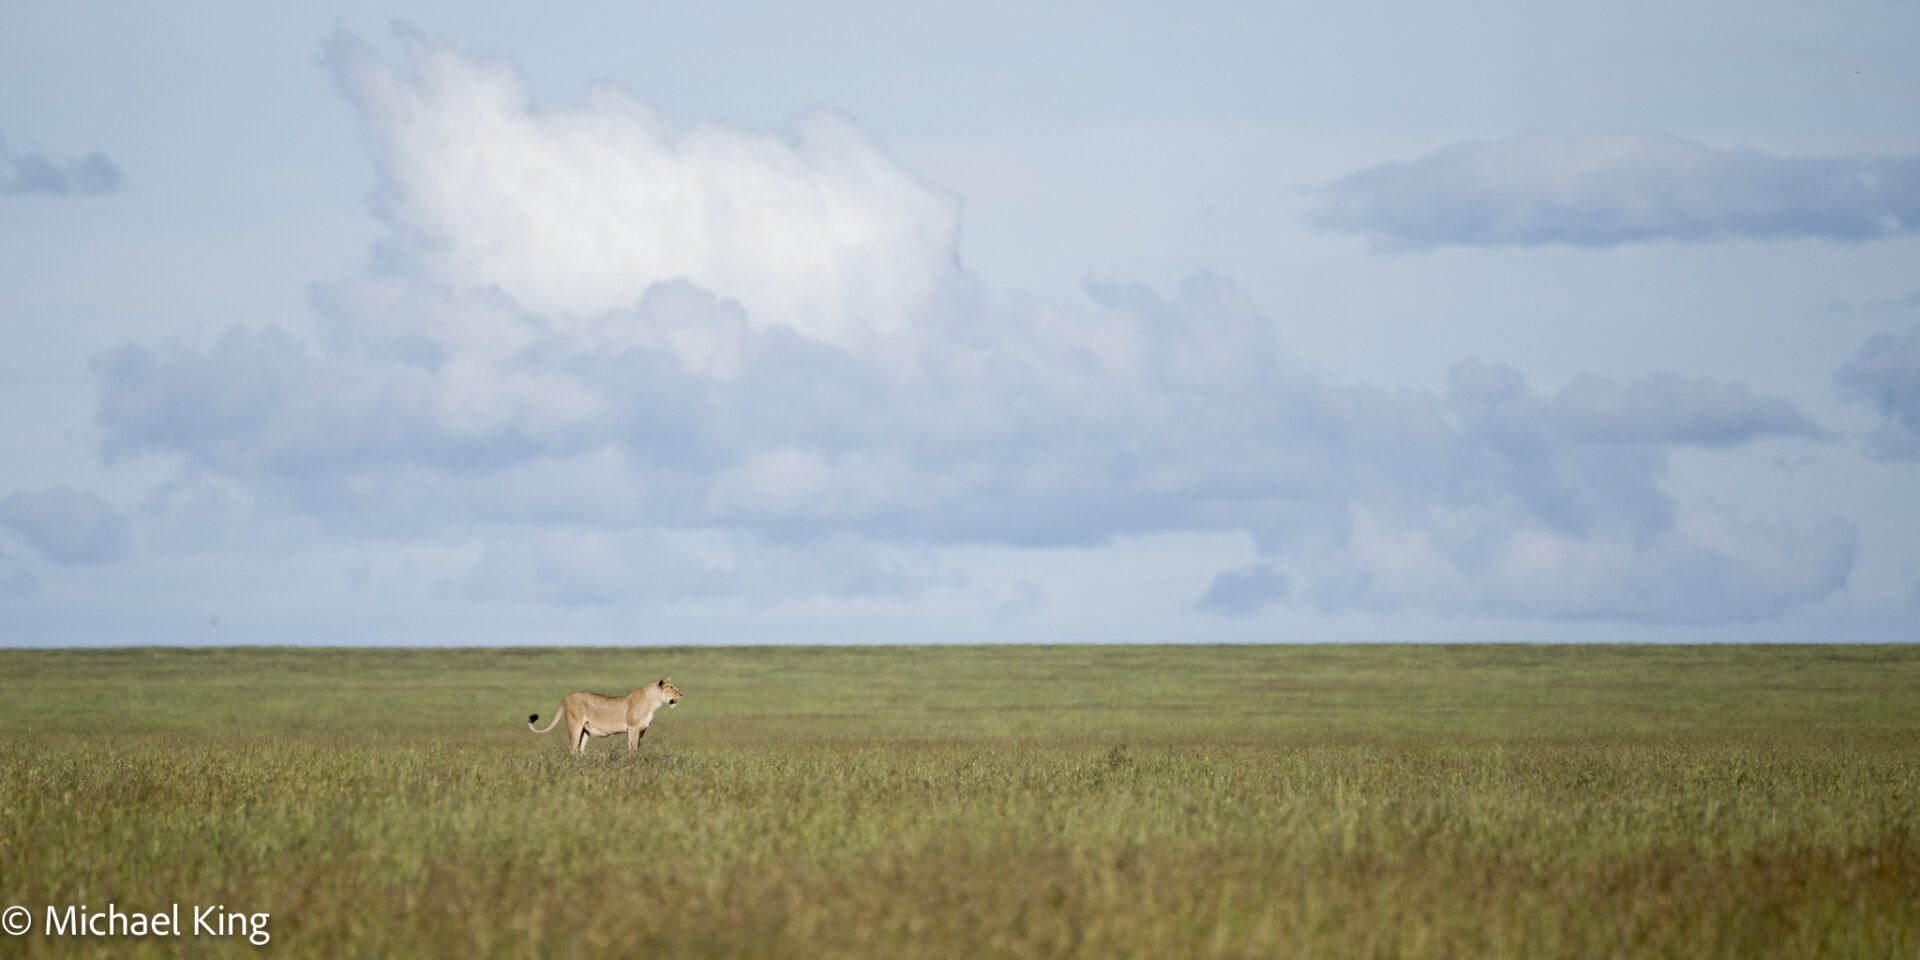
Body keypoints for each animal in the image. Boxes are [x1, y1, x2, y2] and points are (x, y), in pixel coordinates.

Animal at [528, 678, 682, 755]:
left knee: (581, 748)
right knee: (572, 749)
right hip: (575, 725)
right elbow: (632, 748)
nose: (682, 694)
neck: (654, 702)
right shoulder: (633, 727)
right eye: (671, 688)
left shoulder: (641, 730)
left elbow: (635, 747)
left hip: (585, 730)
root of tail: (565, 697)